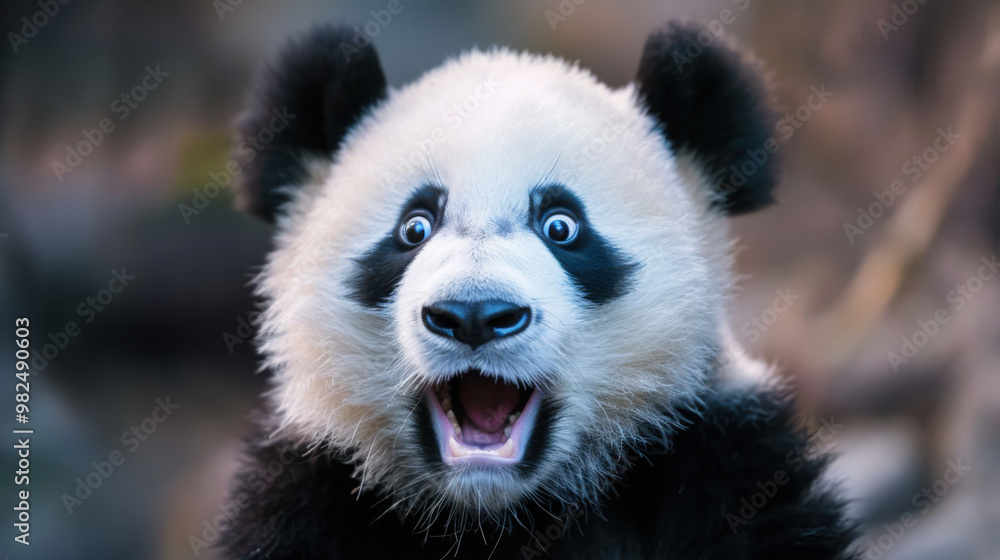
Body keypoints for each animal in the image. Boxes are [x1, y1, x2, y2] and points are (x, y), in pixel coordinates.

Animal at [220, 21, 858, 560]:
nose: (474, 314)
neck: (495, 516)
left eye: (561, 226)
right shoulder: (313, 492)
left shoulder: (719, 461)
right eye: (414, 227)